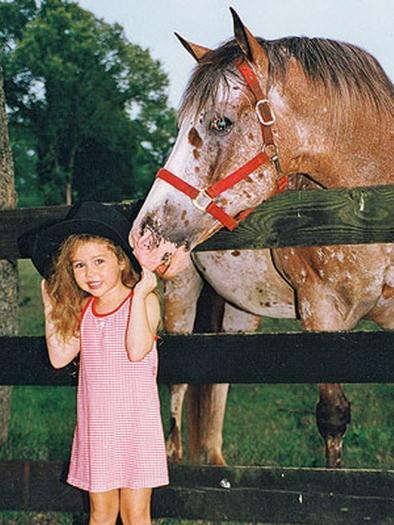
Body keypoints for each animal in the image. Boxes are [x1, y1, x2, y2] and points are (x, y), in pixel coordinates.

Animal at [131, 8, 392, 466]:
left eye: (220, 122)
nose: (144, 234)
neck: (368, 212)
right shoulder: (321, 313)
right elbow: (333, 417)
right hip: (181, 295)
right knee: (178, 387)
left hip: (240, 310)